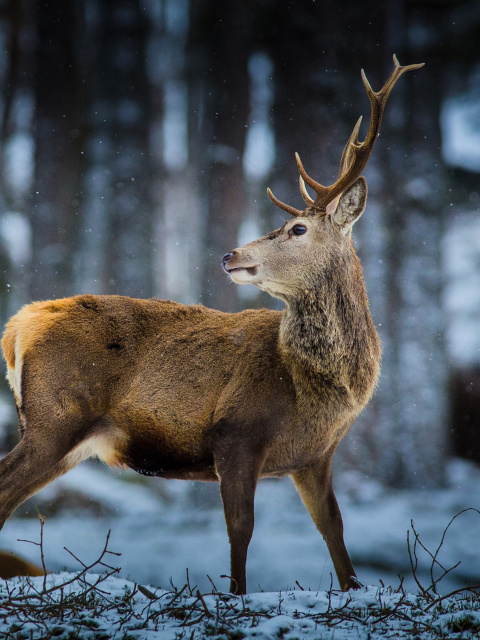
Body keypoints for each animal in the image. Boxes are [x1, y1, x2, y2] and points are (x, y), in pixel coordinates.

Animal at [0, 55, 422, 596]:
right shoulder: (236, 432)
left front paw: (351, 589)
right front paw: (236, 595)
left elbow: (334, 531)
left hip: (65, 436)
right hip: (56, 416)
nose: (229, 255)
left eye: (297, 228)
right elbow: (241, 529)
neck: (314, 387)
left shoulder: (314, 456)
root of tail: (17, 326)